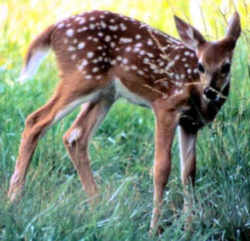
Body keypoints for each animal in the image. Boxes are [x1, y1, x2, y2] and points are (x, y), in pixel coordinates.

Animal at [8, 10, 240, 233]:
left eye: (226, 66)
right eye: (200, 66)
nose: (210, 91)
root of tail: (54, 29)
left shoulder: (190, 124)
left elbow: (189, 174)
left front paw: (189, 229)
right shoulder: (166, 106)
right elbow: (161, 169)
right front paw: (154, 230)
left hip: (105, 93)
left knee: (74, 135)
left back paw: (99, 208)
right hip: (81, 77)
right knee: (36, 121)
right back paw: (14, 202)